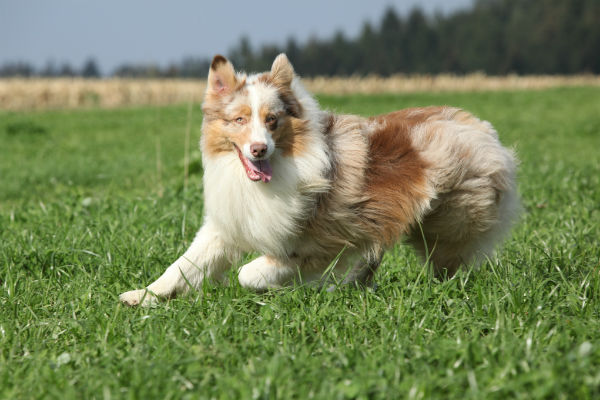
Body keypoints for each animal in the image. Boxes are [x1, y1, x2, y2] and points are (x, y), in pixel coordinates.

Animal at [119, 53, 516, 306]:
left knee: (449, 264)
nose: (259, 149)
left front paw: (279, 286)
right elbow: (183, 265)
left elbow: (249, 273)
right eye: (240, 120)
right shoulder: (228, 225)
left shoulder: (323, 240)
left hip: (445, 225)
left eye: (273, 119)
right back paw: (356, 284)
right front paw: (141, 296)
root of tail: (482, 128)